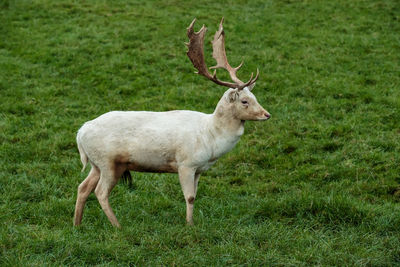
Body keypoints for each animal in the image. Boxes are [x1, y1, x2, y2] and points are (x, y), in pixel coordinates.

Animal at [73, 18, 270, 228]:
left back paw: (77, 225)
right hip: (108, 161)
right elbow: (190, 197)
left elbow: (195, 195)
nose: (267, 114)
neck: (210, 137)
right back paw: (118, 226)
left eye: (255, 97)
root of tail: (80, 132)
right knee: (100, 192)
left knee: (83, 187)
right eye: (244, 101)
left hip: (96, 164)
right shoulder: (186, 164)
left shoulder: (199, 169)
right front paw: (190, 225)